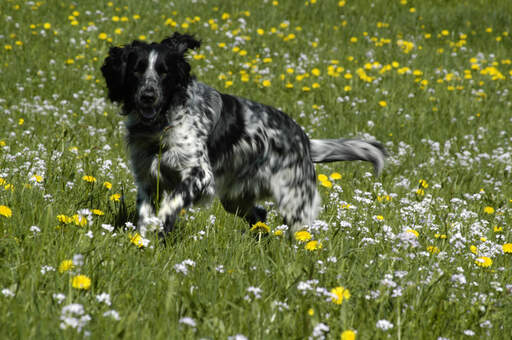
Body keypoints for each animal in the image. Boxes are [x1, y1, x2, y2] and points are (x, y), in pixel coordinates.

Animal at [101, 33, 388, 238]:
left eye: (164, 71)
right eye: (137, 69)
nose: (148, 96)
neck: (161, 125)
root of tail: (304, 140)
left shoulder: (199, 176)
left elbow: (170, 206)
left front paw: (160, 225)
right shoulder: (147, 179)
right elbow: (145, 215)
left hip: (295, 202)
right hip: (234, 199)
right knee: (260, 215)